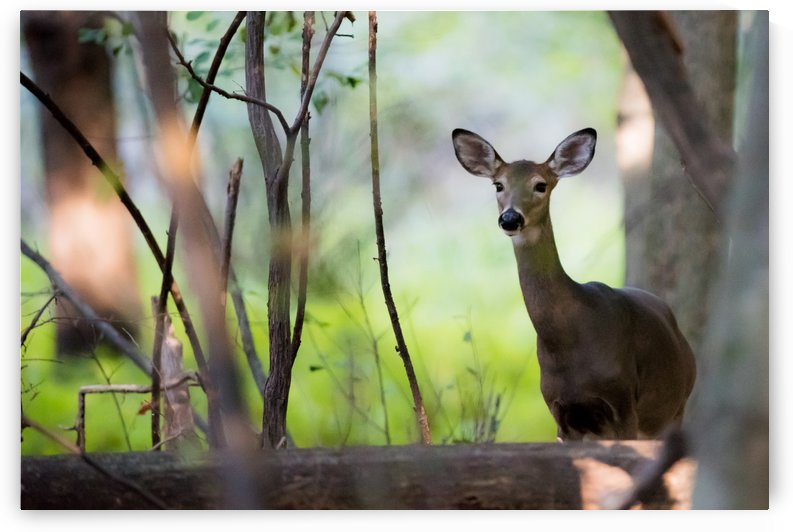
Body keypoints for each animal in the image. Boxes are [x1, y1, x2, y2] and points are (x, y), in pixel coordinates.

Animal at [452, 127, 696, 441]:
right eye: (498, 185)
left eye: (540, 185)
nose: (510, 218)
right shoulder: (559, 410)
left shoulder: (623, 401)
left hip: (675, 408)